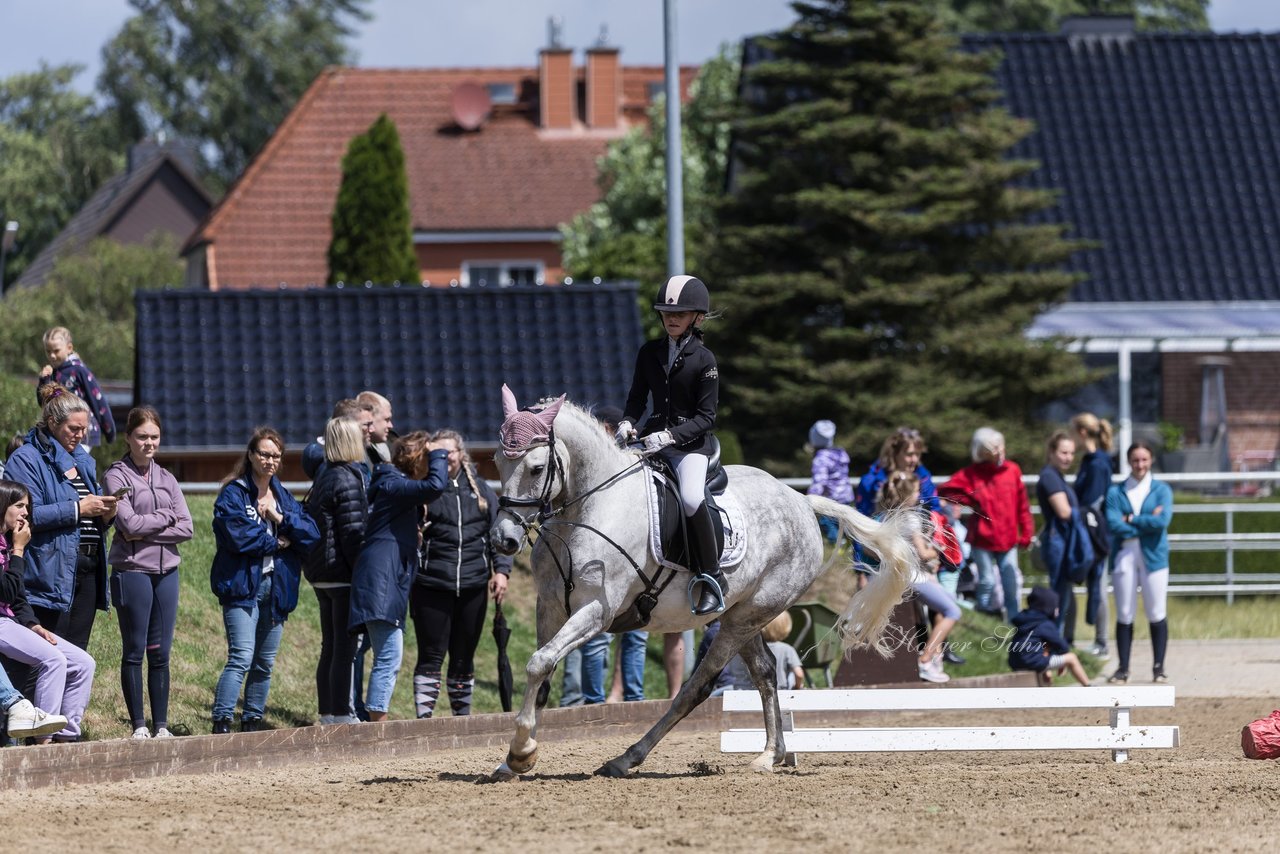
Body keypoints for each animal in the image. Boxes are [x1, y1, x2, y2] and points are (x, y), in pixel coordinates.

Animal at [483, 389, 916, 783]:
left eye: (536, 468)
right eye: (498, 463)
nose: (503, 540)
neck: (589, 508)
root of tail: (801, 500)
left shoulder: (595, 612)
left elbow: (538, 662)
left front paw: (520, 753)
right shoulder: (550, 606)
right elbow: (542, 671)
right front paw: (513, 760)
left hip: (746, 617)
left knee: (698, 686)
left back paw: (628, 758)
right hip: (742, 615)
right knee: (765, 672)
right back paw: (770, 755)